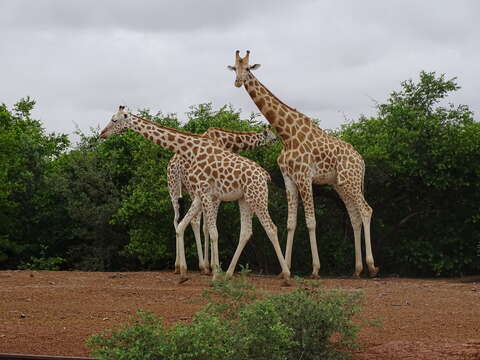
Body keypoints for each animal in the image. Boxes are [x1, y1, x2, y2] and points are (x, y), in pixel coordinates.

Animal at [168, 125, 278, 274]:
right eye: (274, 138)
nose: (276, 145)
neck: (228, 142)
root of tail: (177, 165)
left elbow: (207, 225)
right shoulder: (215, 193)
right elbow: (208, 225)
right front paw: (212, 265)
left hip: (173, 189)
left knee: (176, 220)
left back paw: (177, 265)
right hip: (192, 189)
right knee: (194, 221)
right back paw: (202, 266)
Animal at [229, 50, 378, 278]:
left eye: (247, 68)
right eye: (234, 68)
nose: (237, 82)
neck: (286, 135)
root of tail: (361, 160)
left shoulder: (304, 176)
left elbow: (311, 222)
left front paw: (315, 269)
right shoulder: (289, 178)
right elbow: (291, 223)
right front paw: (286, 269)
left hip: (351, 180)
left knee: (366, 210)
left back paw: (371, 266)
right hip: (340, 184)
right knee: (354, 216)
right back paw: (357, 269)